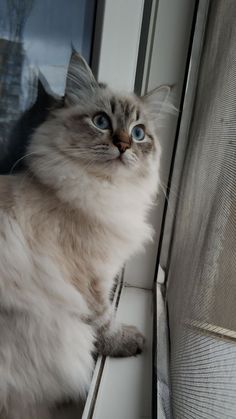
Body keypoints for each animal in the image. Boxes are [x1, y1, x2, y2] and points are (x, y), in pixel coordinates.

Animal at [0, 50, 171, 418]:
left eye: (138, 133)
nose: (123, 145)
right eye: (101, 122)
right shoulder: (88, 278)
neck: (103, 191)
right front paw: (127, 342)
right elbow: (104, 319)